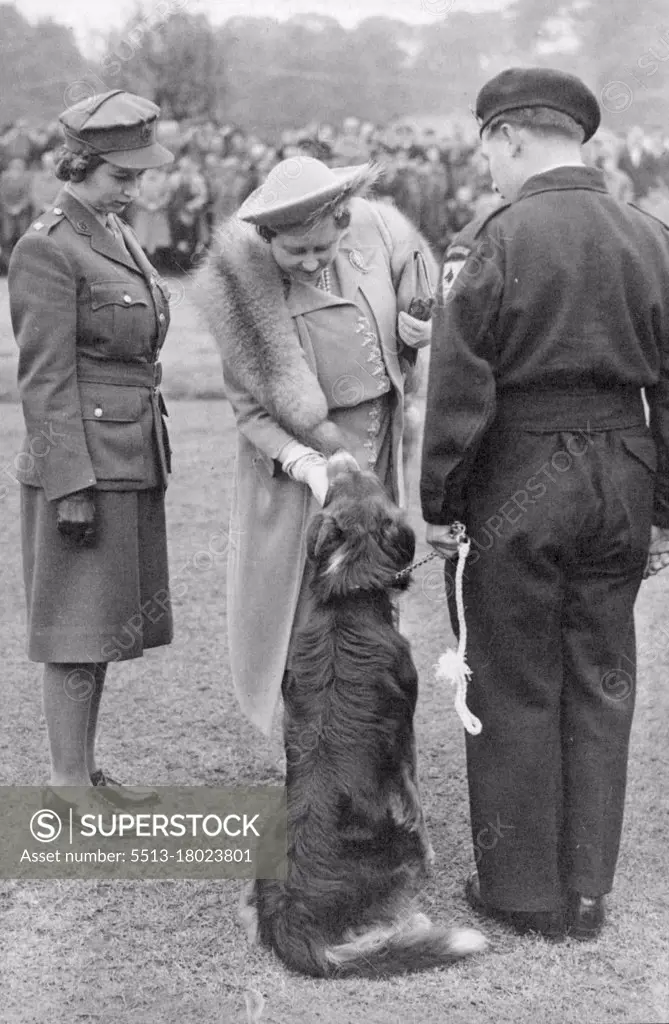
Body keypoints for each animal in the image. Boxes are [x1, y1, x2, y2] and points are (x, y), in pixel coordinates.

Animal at [241, 454, 485, 974]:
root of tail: (290, 916)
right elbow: (415, 801)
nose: (340, 456)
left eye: (342, 486)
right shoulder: (405, 739)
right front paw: (431, 853)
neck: (346, 595)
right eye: (375, 483)